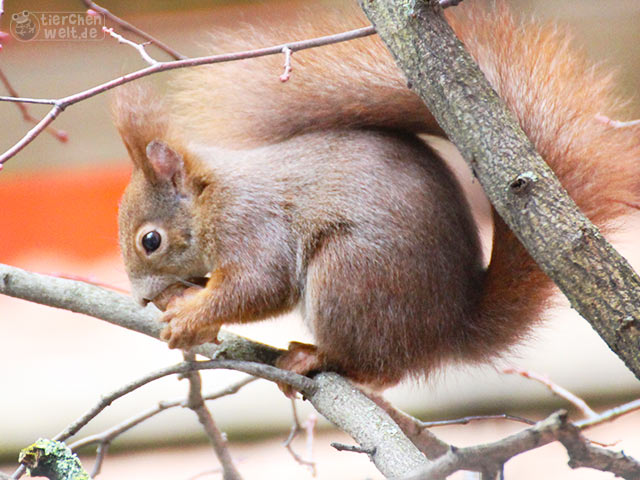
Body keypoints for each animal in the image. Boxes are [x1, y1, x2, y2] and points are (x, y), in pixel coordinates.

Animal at [115, 2, 640, 386]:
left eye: (150, 241)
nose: (141, 299)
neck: (211, 197)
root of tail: (448, 331)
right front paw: (194, 314)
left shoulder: (250, 223)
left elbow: (260, 285)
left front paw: (189, 315)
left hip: (349, 278)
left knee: (377, 369)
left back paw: (315, 358)